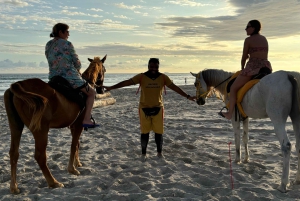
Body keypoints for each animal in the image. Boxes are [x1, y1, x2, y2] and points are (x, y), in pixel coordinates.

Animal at [3, 54, 106, 193]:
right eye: (104, 70)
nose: (100, 90)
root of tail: (17, 85)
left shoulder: (73, 126)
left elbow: (77, 145)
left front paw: (77, 163)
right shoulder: (78, 125)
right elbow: (73, 145)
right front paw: (72, 169)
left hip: (16, 127)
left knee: (14, 153)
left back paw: (14, 187)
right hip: (41, 130)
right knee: (40, 156)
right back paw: (53, 182)